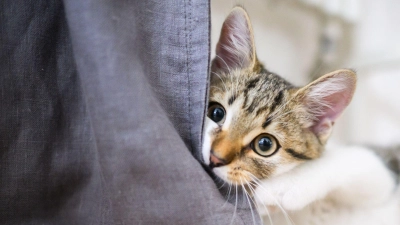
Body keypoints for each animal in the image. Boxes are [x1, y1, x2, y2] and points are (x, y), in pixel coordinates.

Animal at [205, 6, 398, 224]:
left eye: (265, 144)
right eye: (216, 113)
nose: (215, 158)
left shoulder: (384, 176)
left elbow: (359, 159)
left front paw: (280, 188)